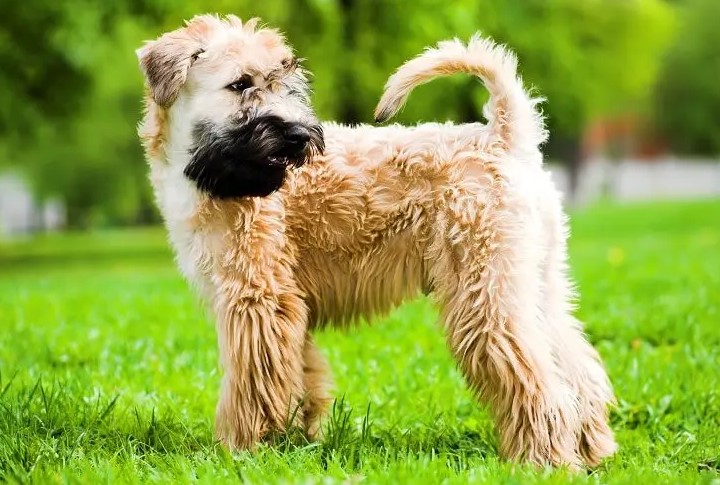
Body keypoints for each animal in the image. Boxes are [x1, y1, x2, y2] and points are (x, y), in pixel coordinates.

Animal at [136, 16, 620, 468]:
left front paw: (239, 448)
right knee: (576, 368)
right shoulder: (288, 305)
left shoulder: (256, 298)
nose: (299, 137)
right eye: (240, 84)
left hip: (484, 295)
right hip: (536, 284)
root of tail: (503, 138)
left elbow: (250, 382)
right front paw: (296, 440)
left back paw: (545, 458)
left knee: (538, 379)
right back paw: (592, 449)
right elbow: (298, 376)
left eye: (284, 81)